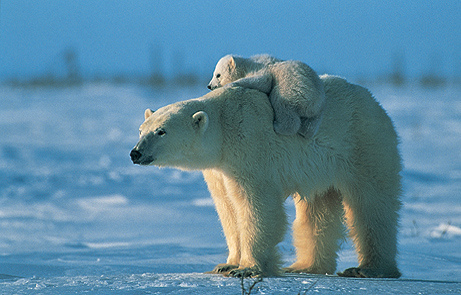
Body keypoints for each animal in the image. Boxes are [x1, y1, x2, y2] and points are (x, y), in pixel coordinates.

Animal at [130, 75, 402, 278]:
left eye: (161, 131)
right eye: (141, 130)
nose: (135, 153)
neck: (224, 127)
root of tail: (374, 101)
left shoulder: (250, 148)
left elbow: (256, 205)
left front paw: (247, 268)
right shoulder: (219, 170)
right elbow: (227, 209)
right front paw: (226, 264)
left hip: (363, 144)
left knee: (372, 204)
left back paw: (369, 268)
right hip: (321, 169)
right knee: (317, 212)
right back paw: (304, 266)